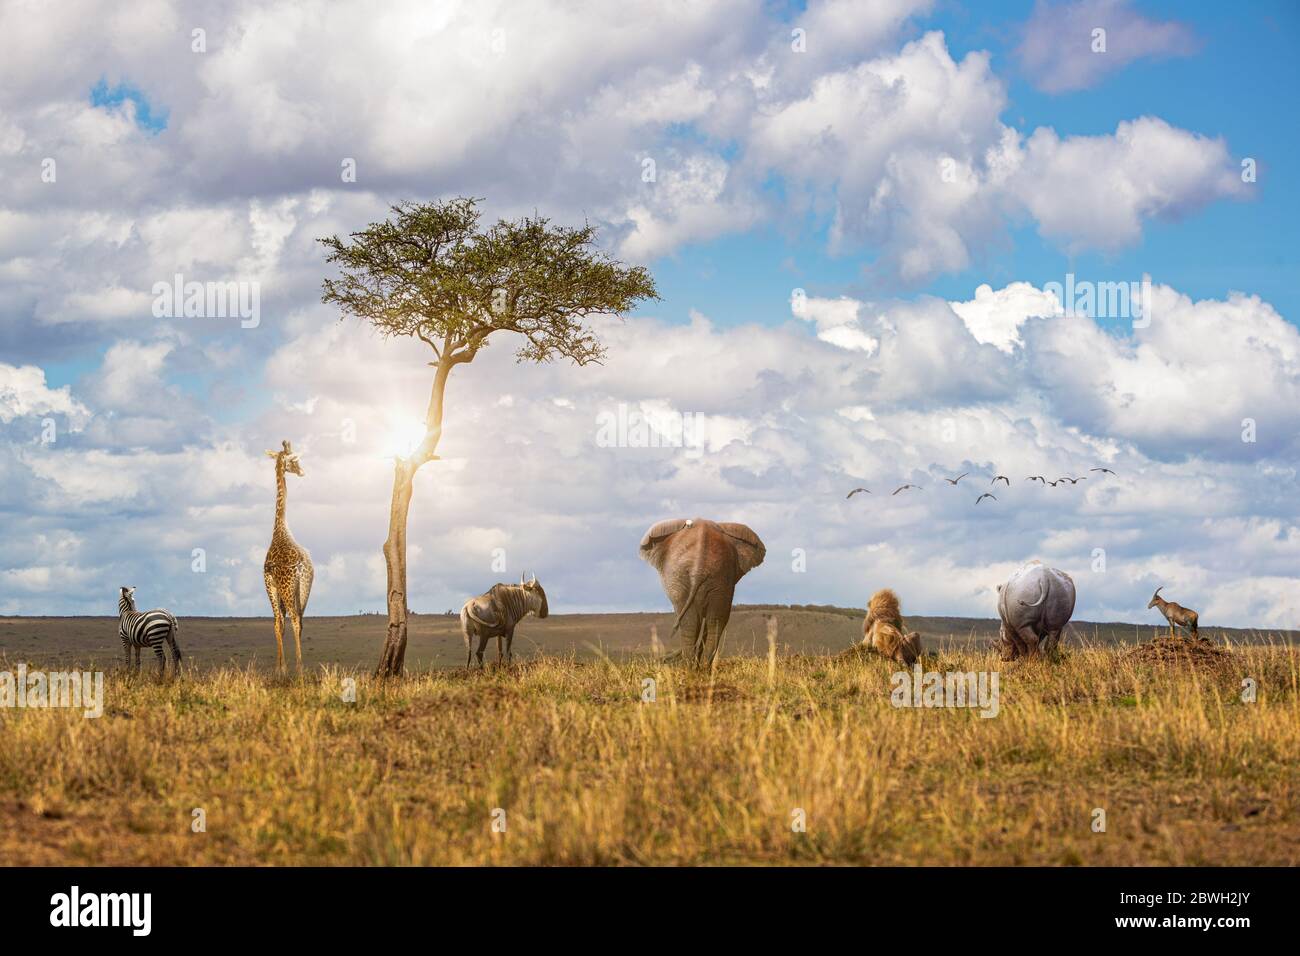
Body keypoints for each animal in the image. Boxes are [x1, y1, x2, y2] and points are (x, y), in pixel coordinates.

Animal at [637, 520, 764, 671]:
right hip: (708, 579)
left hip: (709, 580)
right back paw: (700, 670)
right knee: (710, 621)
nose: (661, 660)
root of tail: (700, 566)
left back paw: (694, 670)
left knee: (702, 621)